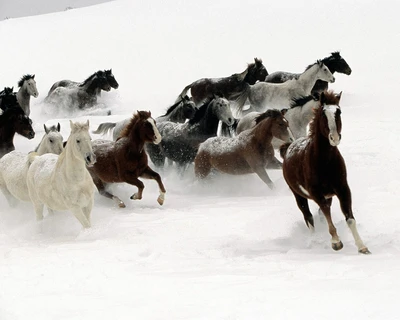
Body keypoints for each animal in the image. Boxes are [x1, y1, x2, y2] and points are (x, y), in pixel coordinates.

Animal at [280, 90, 370, 255]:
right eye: (323, 114)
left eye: (339, 112)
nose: (334, 138)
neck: (325, 162)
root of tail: (288, 147)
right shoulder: (316, 193)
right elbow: (326, 214)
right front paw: (336, 242)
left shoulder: (343, 189)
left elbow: (349, 218)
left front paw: (362, 247)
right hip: (298, 195)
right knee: (308, 217)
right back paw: (314, 241)